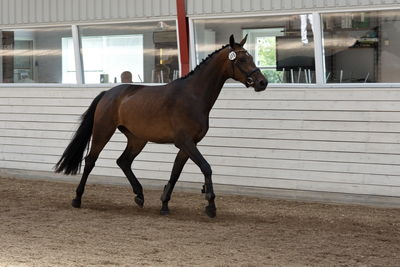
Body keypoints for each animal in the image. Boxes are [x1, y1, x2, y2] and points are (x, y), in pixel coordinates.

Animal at [54, 34, 268, 218]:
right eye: (242, 60)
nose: (262, 82)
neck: (193, 96)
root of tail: (108, 93)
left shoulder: (188, 144)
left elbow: (175, 173)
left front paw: (164, 204)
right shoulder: (185, 142)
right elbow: (206, 168)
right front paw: (211, 205)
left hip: (137, 139)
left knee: (123, 161)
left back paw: (139, 195)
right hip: (103, 131)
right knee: (91, 160)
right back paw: (77, 198)